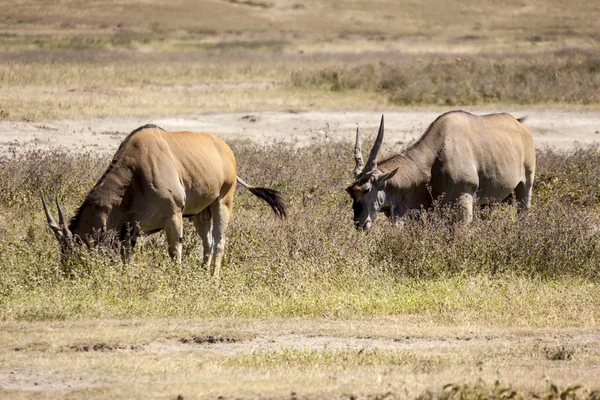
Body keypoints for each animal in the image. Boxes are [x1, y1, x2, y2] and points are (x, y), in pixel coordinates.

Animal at [42, 123, 286, 276]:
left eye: (74, 252)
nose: (68, 275)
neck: (135, 172)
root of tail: (226, 149)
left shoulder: (173, 217)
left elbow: (174, 253)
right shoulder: (131, 230)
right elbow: (126, 258)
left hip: (222, 204)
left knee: (219, 243)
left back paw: (213, 279)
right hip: (199, 214)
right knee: (207, 243)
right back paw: (202, 274)